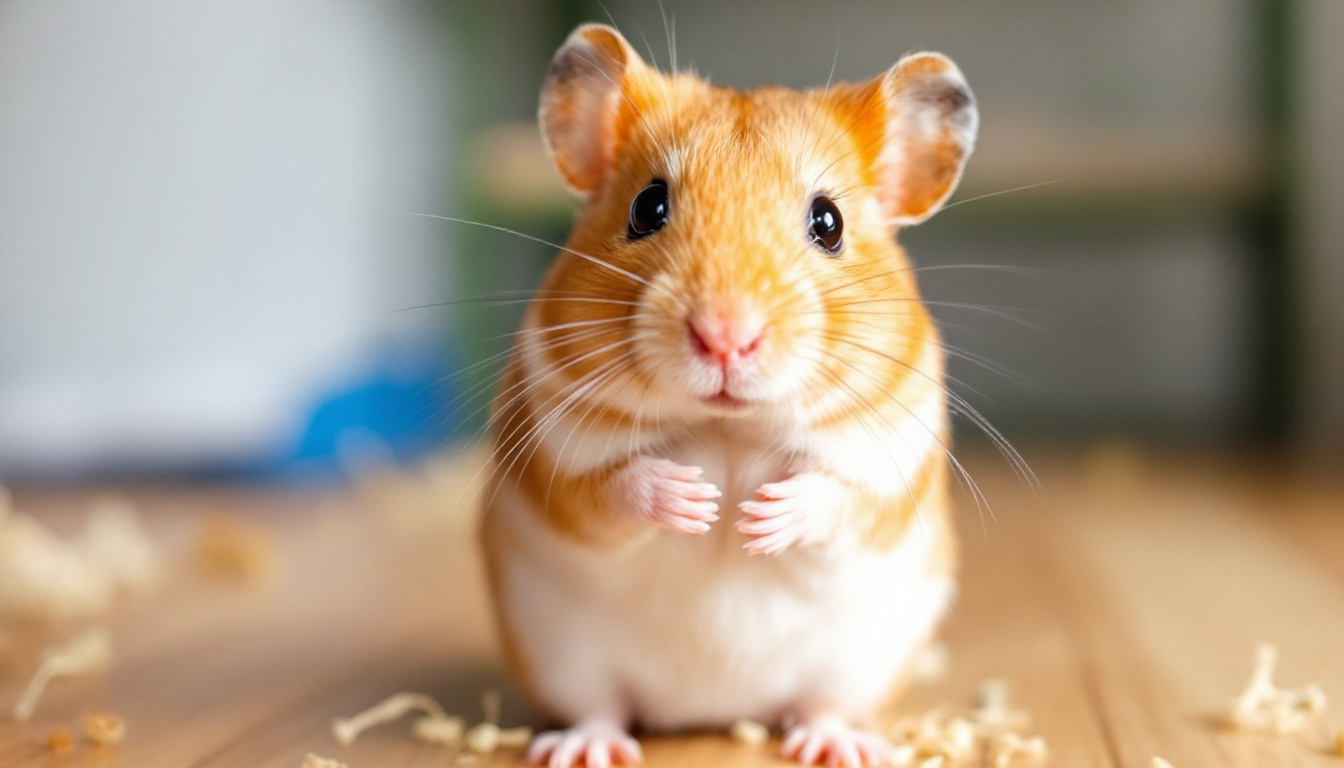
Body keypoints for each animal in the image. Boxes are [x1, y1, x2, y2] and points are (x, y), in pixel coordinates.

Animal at [479, 23, 977, 768]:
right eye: (647, 207)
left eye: (828, 222)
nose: (724, 338)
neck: (728, 428)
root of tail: (712, 710)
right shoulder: (552, 458)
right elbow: (609, 491)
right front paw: (695, 499)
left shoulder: (890, 464)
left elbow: (839, 500)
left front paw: (759, 514)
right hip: (564, 656)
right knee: (600, 707)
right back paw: (583, 748)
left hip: (857, 664)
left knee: (823, 706)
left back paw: (838, 745)